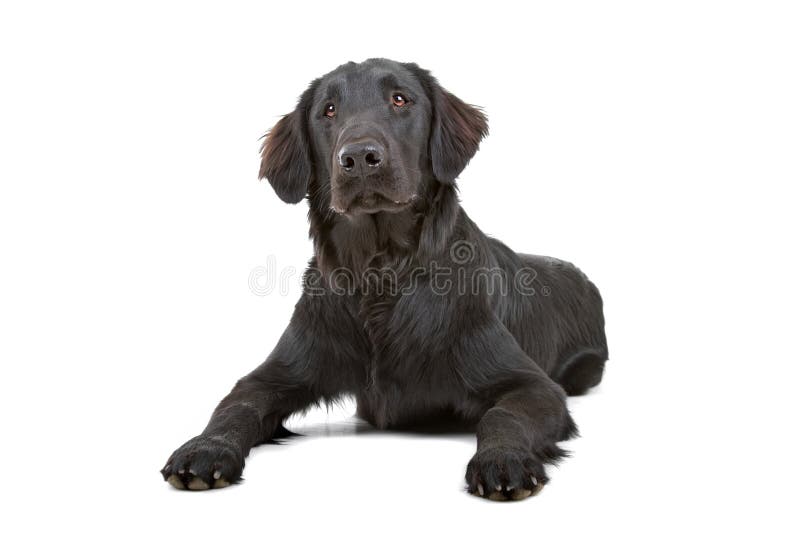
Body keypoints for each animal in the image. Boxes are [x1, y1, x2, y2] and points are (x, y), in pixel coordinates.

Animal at [161, 58, 608, 502]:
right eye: (328, 110)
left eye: (400, 99)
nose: (359, 157)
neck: (380, 271)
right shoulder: (273, 374)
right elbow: (235, 407)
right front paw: (204, 448)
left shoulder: (532, 385)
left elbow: (502, 415)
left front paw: (503, 459)